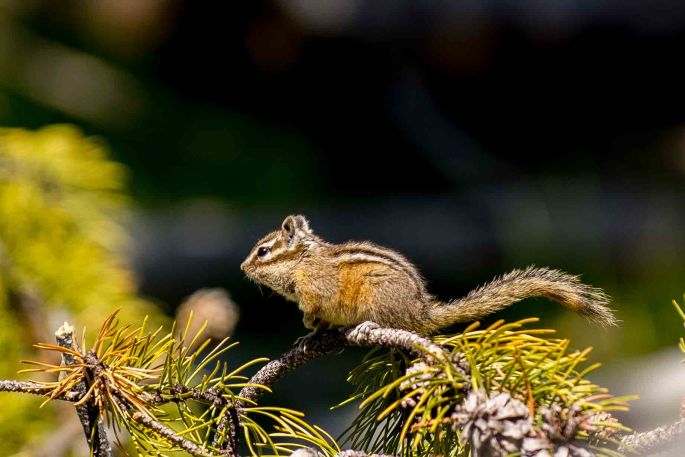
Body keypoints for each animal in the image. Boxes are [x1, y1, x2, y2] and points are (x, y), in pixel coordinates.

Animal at [240, 215, 617, 335]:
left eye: (263, 252)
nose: (243, 268)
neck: (303, 260)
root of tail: (421, 311)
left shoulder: (317, 288)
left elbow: (316, 305)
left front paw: (307, 322)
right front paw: (307, 335)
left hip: (378, 295)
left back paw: (366, 325)